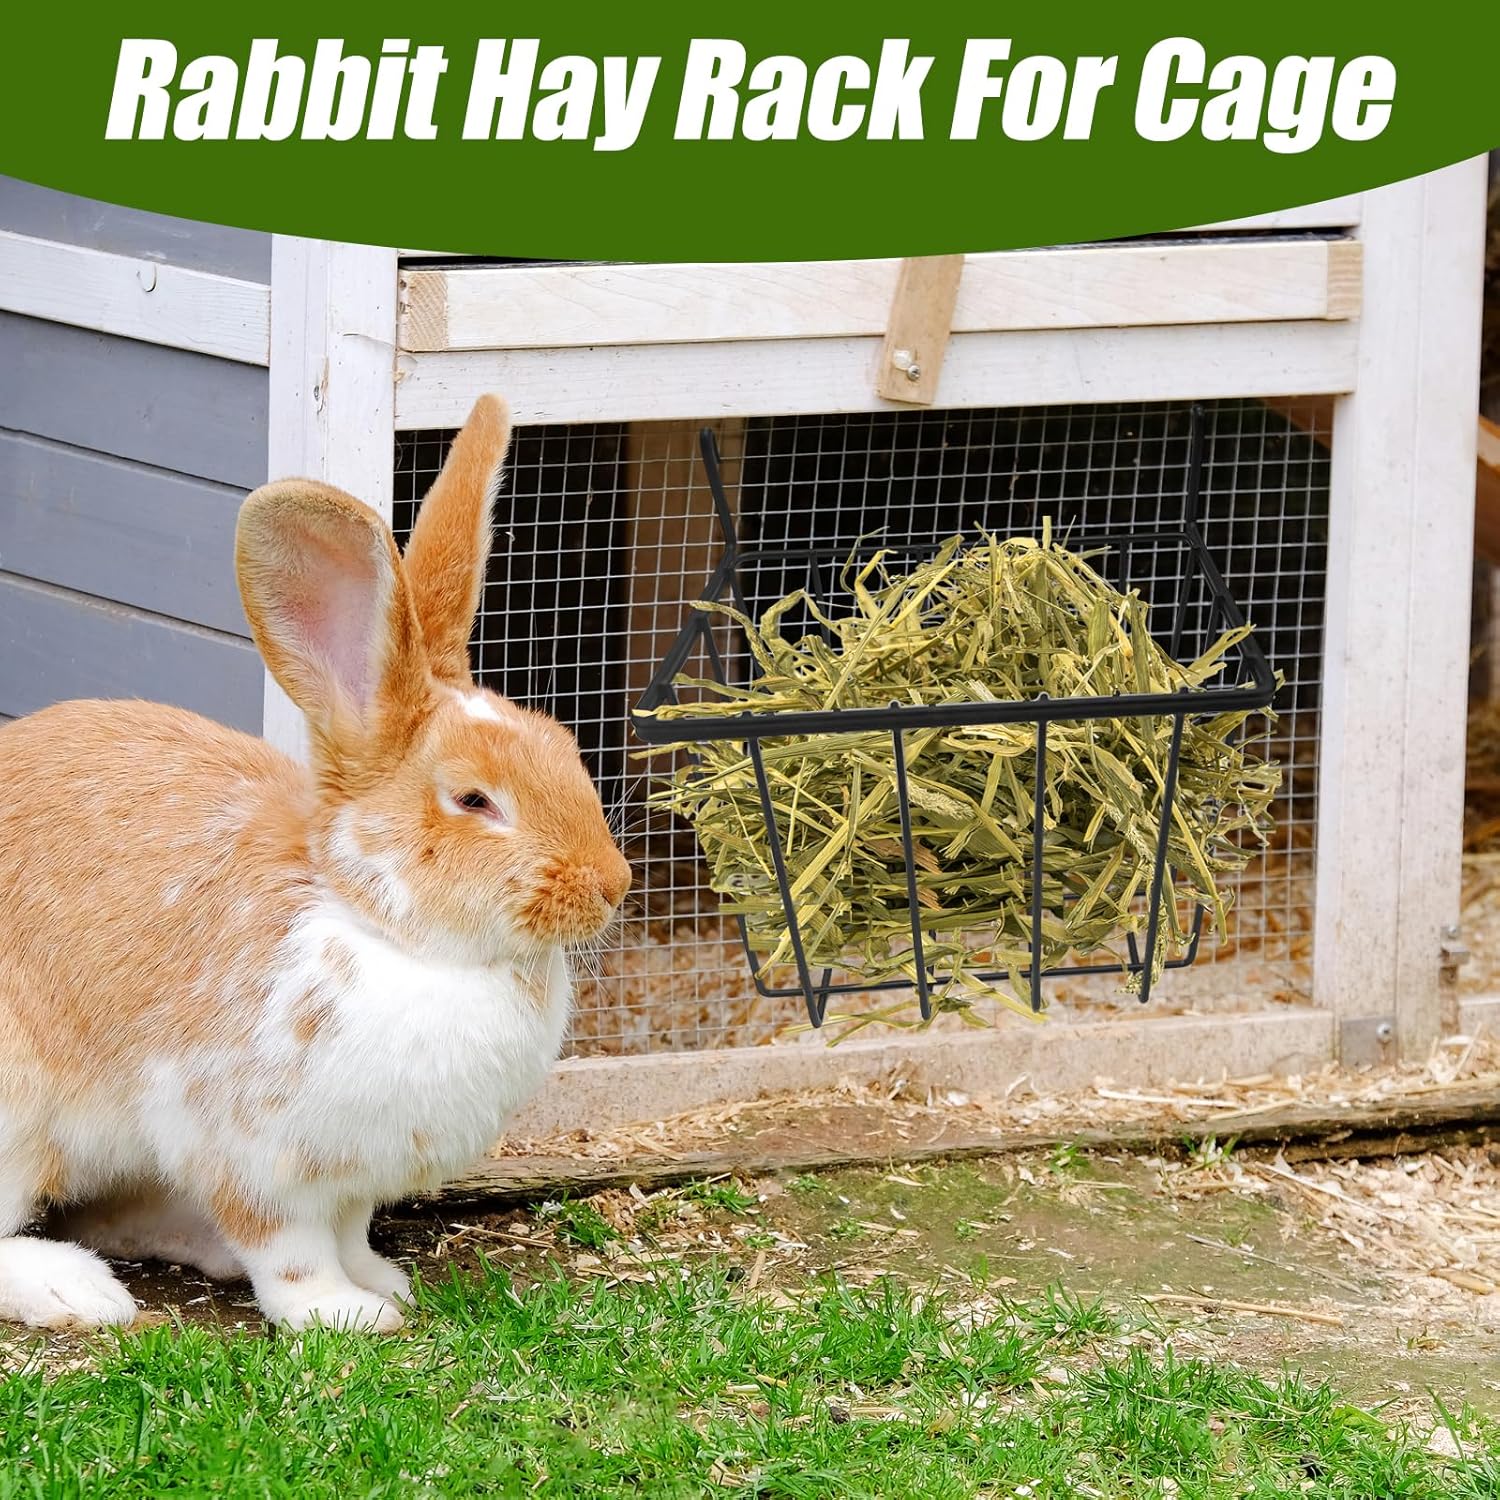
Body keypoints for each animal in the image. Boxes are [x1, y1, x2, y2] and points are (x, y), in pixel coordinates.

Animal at [0, 394, 631, 1332]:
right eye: (473, 800)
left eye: (563, 745)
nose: (611, 886)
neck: (379, 925)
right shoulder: (251, 1156)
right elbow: (288, 1249)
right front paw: (344, 1315)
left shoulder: (352, 1177)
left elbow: (351, 1229)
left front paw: (380, 1282)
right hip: (17, 1120)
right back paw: (77, 1290)